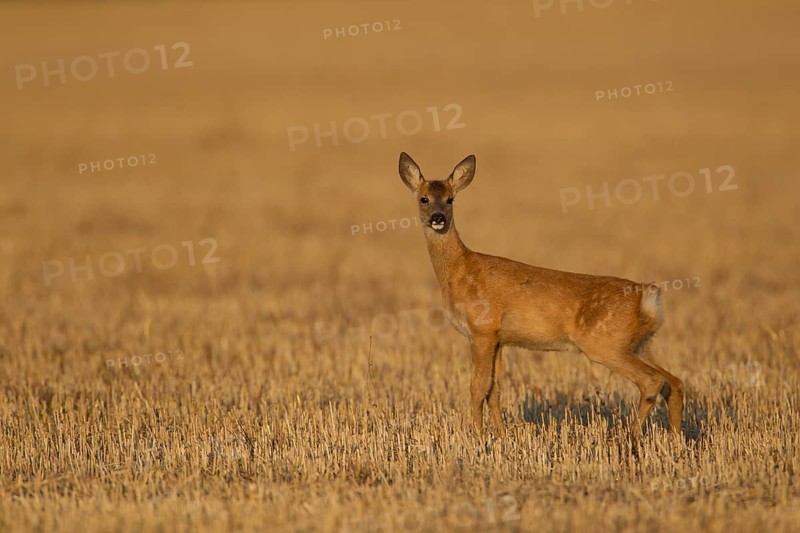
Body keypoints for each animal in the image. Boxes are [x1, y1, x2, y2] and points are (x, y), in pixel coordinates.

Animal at [397, 152, 684, 439]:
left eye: (450, 199)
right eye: (424, 198)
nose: (438, 218)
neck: (459, 270)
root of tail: (647, 295)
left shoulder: (482, 329)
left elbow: (477, 388)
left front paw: (476, 437)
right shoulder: (499, 339)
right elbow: (494, 390)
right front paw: (501, 437)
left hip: (606, 343)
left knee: (653, 381)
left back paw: (630, 436)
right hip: (640, 343)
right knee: (674, 382)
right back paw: (676, 439)